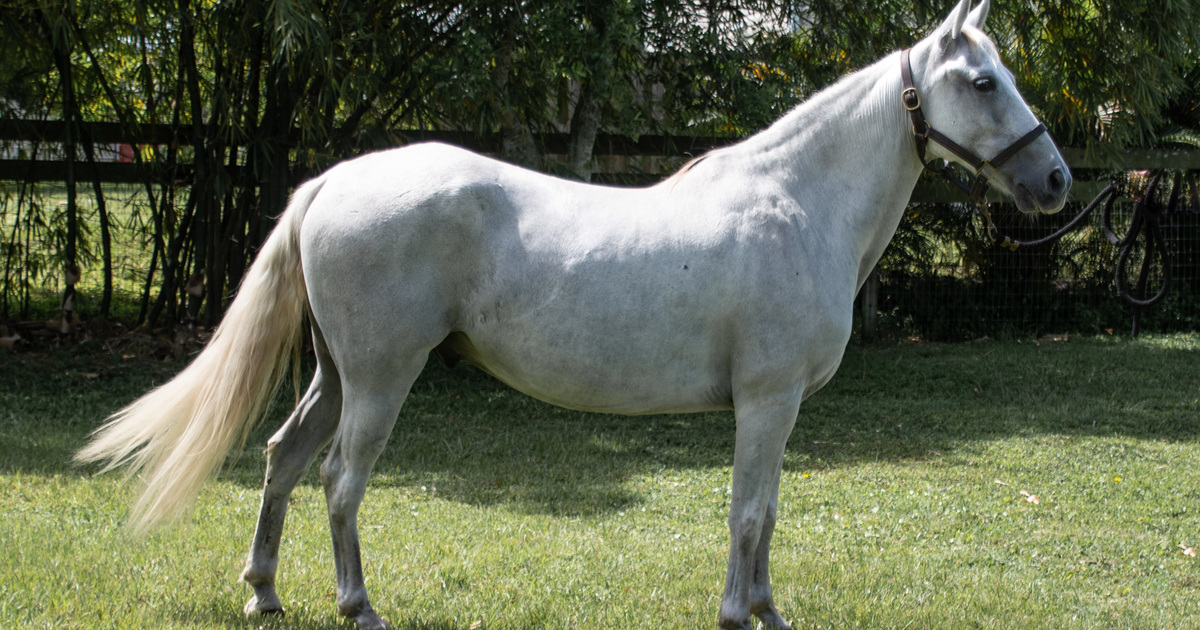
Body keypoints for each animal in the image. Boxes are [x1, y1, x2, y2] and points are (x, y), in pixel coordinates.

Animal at [77, 1, 1070, 628]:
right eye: (983, 81)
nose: (1055, 180)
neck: (795, 201)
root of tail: (330, 182)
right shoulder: (766, 401)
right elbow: (748, 509)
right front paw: (738, 614)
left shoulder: (778, 409)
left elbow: (769, 510)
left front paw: (768, 608)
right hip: (379, 379)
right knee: (340, 482)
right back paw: (359, 607)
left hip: (334, 374)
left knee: (283, 461)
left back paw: (265, 593)